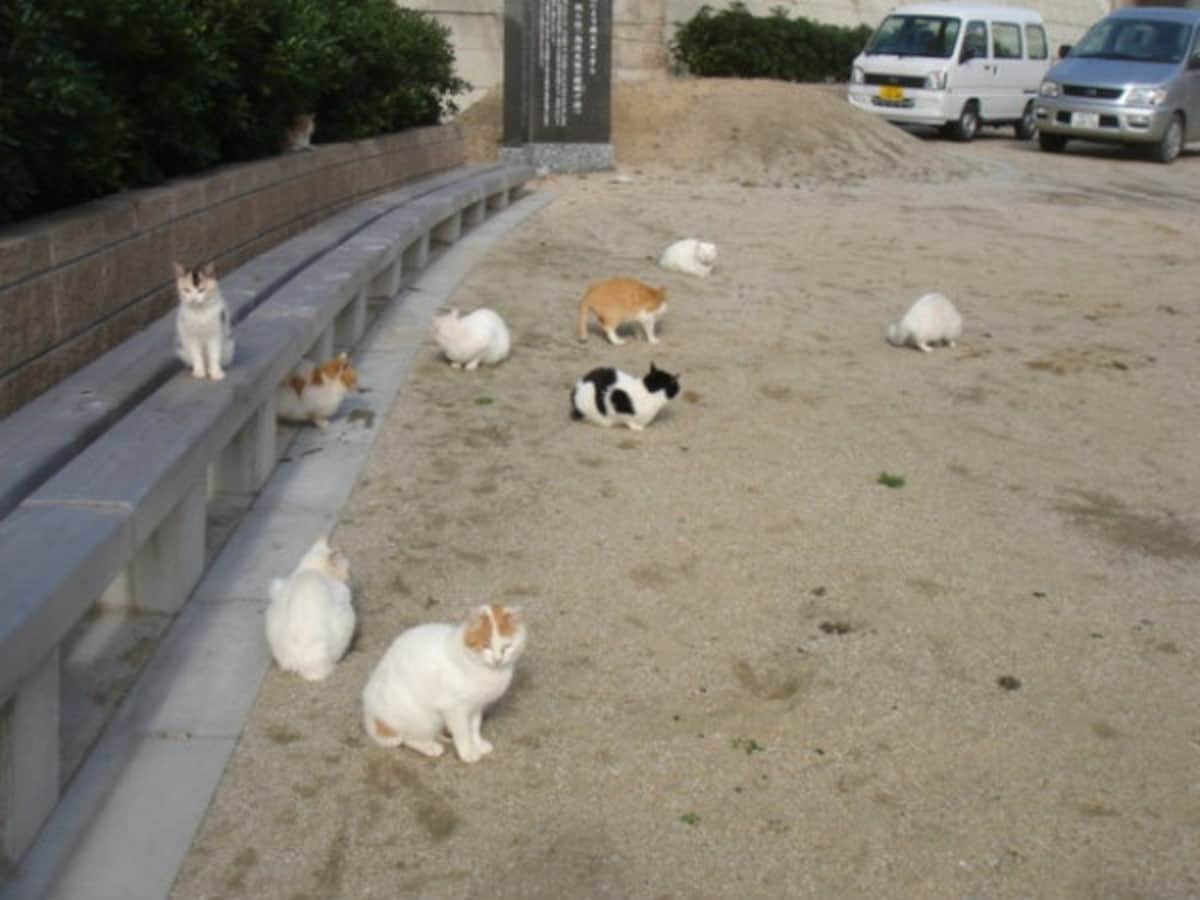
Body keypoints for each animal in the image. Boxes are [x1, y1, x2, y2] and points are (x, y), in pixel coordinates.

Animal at [357, 602, 523, 763]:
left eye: (507, 647)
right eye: (486, 646)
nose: (498, 660)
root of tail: (372, 716)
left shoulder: (476, 706)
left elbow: (474, 727)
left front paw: (478, 744)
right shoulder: (455, 709)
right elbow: (463, 733)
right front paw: (468, 752)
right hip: (422, 717)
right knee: (408, 738)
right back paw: (430, 747)